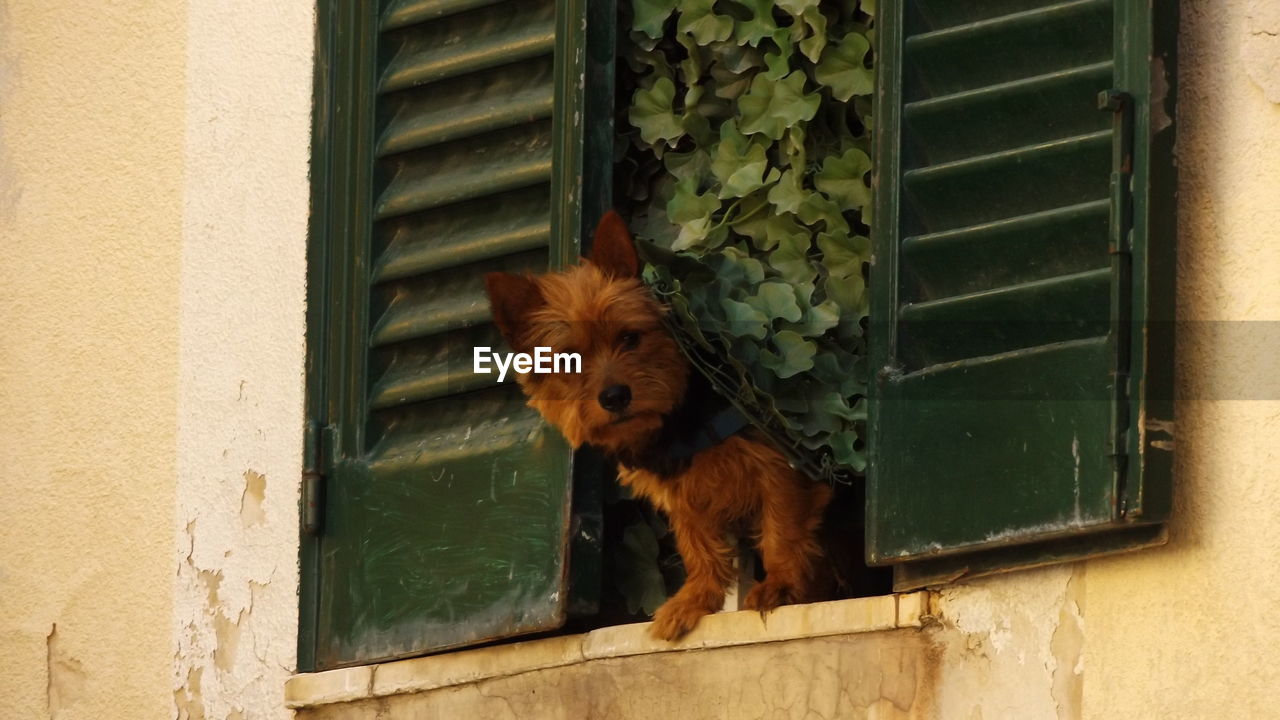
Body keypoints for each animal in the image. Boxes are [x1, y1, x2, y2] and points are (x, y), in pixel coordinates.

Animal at [483, 210, 834, 635]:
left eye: (630, 337)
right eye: (569, 360)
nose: (615, 396)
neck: (674, 423)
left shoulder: (777, 467)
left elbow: (782, 527)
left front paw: (780, 583)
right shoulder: (683, 494)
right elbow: (698, 546)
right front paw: (695, 599)